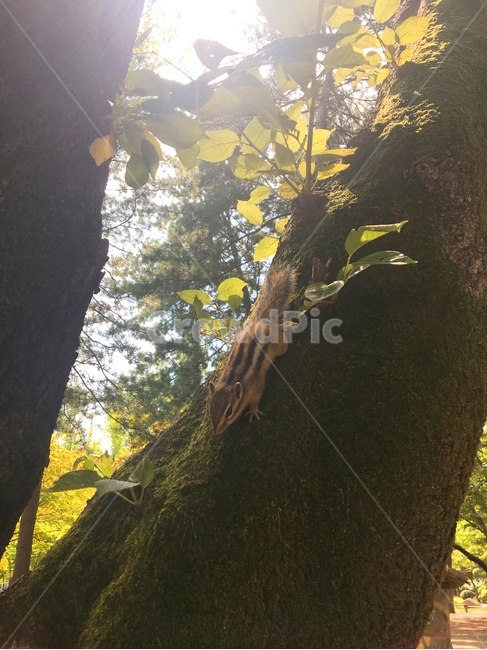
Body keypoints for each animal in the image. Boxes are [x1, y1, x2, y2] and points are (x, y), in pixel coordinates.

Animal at [209, 265, 297, 435]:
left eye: (229, 412)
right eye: (210, 410)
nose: (216, 431)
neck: (230, 383)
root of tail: (260, 321)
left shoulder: (256, 385)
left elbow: (256, 398)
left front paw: (253, 410)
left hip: (279, 346)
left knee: (280, 334)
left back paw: (286, 326)